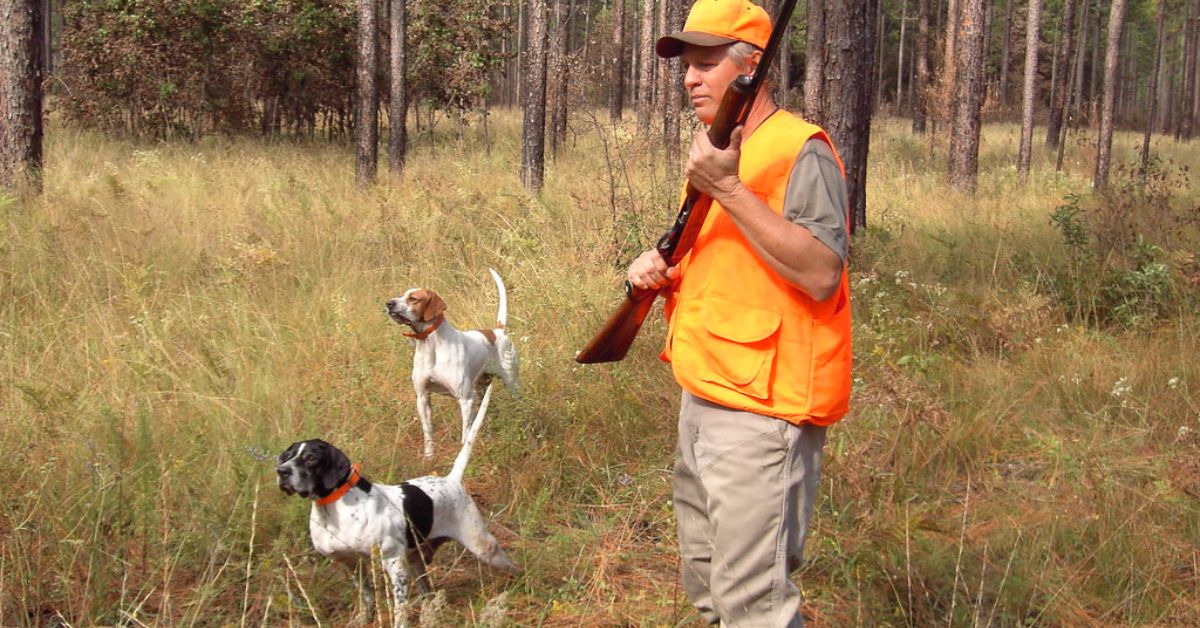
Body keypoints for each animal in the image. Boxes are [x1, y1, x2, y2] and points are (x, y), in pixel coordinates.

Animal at [278, 386, 518, 624]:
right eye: (286, 456)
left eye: (311, 458)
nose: (282, 471)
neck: (335, 507)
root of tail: (451, 480)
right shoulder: (352, 564)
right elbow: (367, 597)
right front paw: (364, 619)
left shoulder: (394, 563)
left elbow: (399, 609)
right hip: (416, 561)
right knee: (428, 592)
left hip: (484, 547)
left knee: (512, 566)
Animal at [384, 267, 516, 458]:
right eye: (402, 295)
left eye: (413, 298)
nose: (389, 303)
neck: (430, 345)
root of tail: (497, 331)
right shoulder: (423, 398)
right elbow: (428, 432)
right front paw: (429, 457)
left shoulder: (465, 399)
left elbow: (465, 433)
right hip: (480, 391)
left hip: (510, 384)